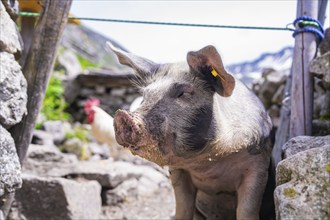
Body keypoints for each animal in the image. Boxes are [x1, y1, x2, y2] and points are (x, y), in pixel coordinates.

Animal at [107, 43, 274, 220]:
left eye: (183, 93)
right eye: (145, 95)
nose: (121, 116)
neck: (208, 162)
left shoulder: (259, 165)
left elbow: (247, 211)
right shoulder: (178, 172)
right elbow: (182, 209)